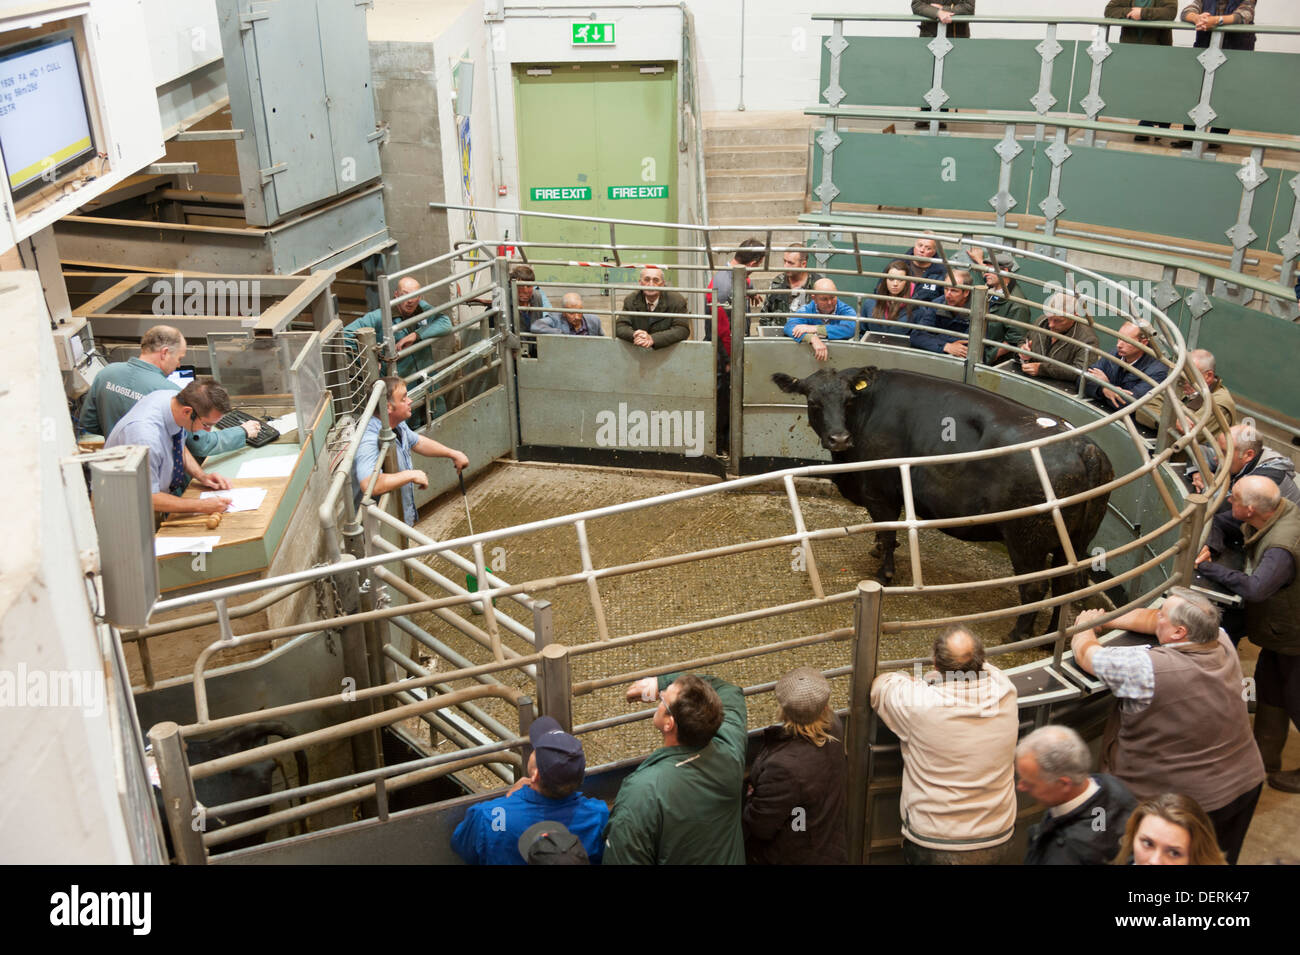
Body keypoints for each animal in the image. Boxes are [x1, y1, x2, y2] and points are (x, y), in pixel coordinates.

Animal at [774, 369, 1112, 639]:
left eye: (847, 401)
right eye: (814, 402)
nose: (840, 438)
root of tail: (1083, 446)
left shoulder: (880, 493)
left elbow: (888, 532)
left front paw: (884, 572)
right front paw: (876, 550)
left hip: (1025, 539)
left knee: (1035, 587)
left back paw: (1017, 634)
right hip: (1075, 541)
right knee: (1067, 583)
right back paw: (1053, 635)